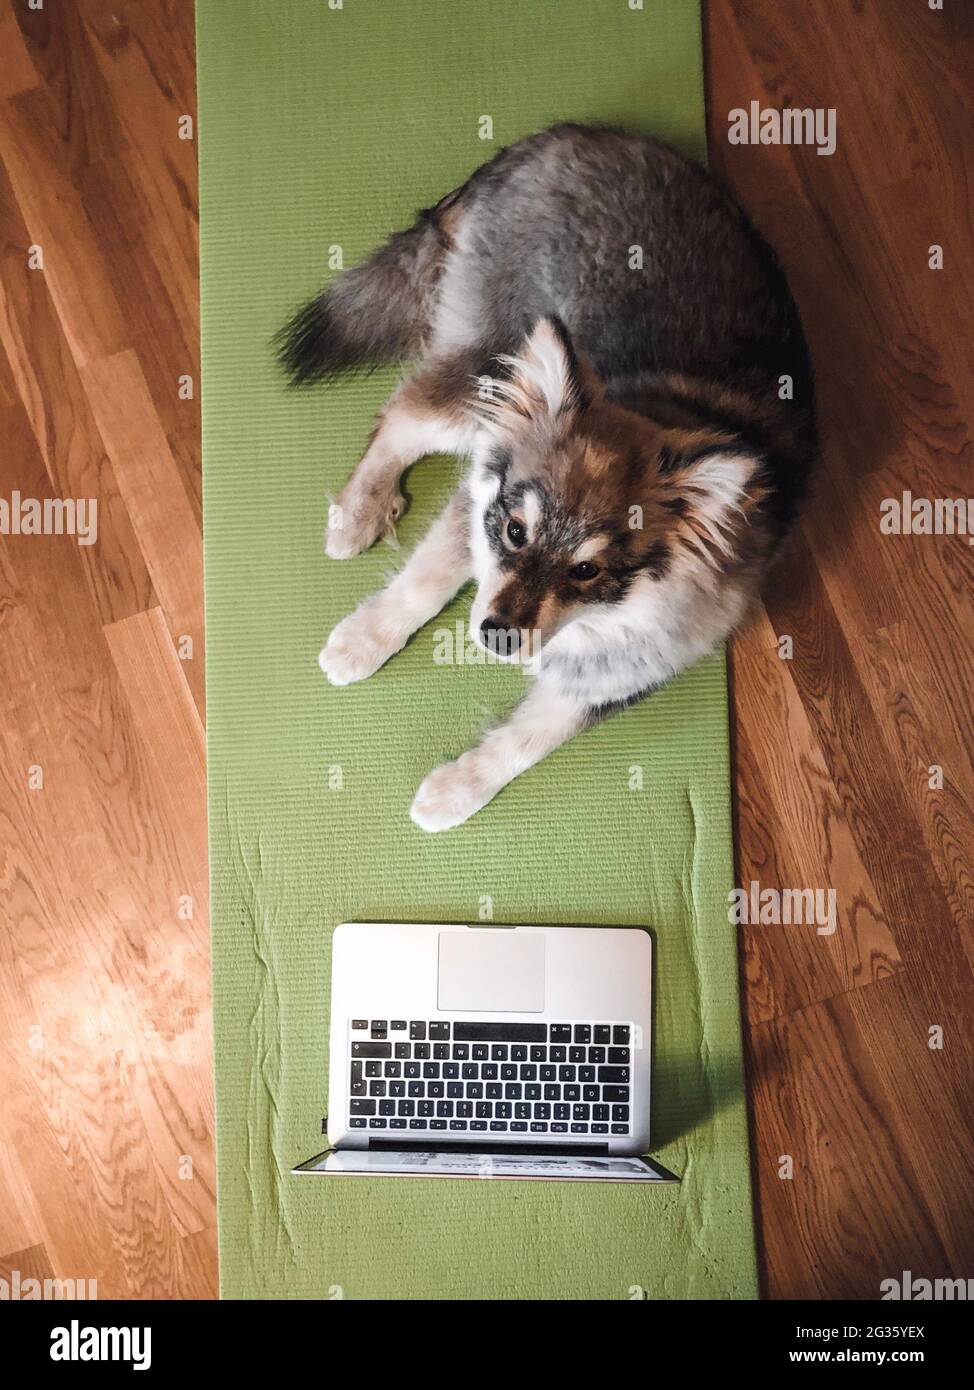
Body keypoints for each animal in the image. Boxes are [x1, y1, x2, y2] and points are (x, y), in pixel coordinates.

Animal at [279, 125, 811, 828]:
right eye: (514, 531)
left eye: (587, 570)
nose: (498, 637)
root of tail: (559, 135)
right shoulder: (480, 492)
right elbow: (422, 581)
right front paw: (364, 640)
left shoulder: (621, 673)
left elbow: (525, 741)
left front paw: (455, 792)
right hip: (489, 371)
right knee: (402, 413)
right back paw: (359, 510)